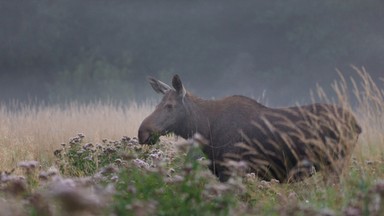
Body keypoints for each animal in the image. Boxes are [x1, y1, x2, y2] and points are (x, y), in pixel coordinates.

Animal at [140, 74, 362, 182]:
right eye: (158, 103)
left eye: (170, 106)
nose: (142, 132)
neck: (206, 129)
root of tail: (357, 124)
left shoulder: (232, 170)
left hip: (336, 164)